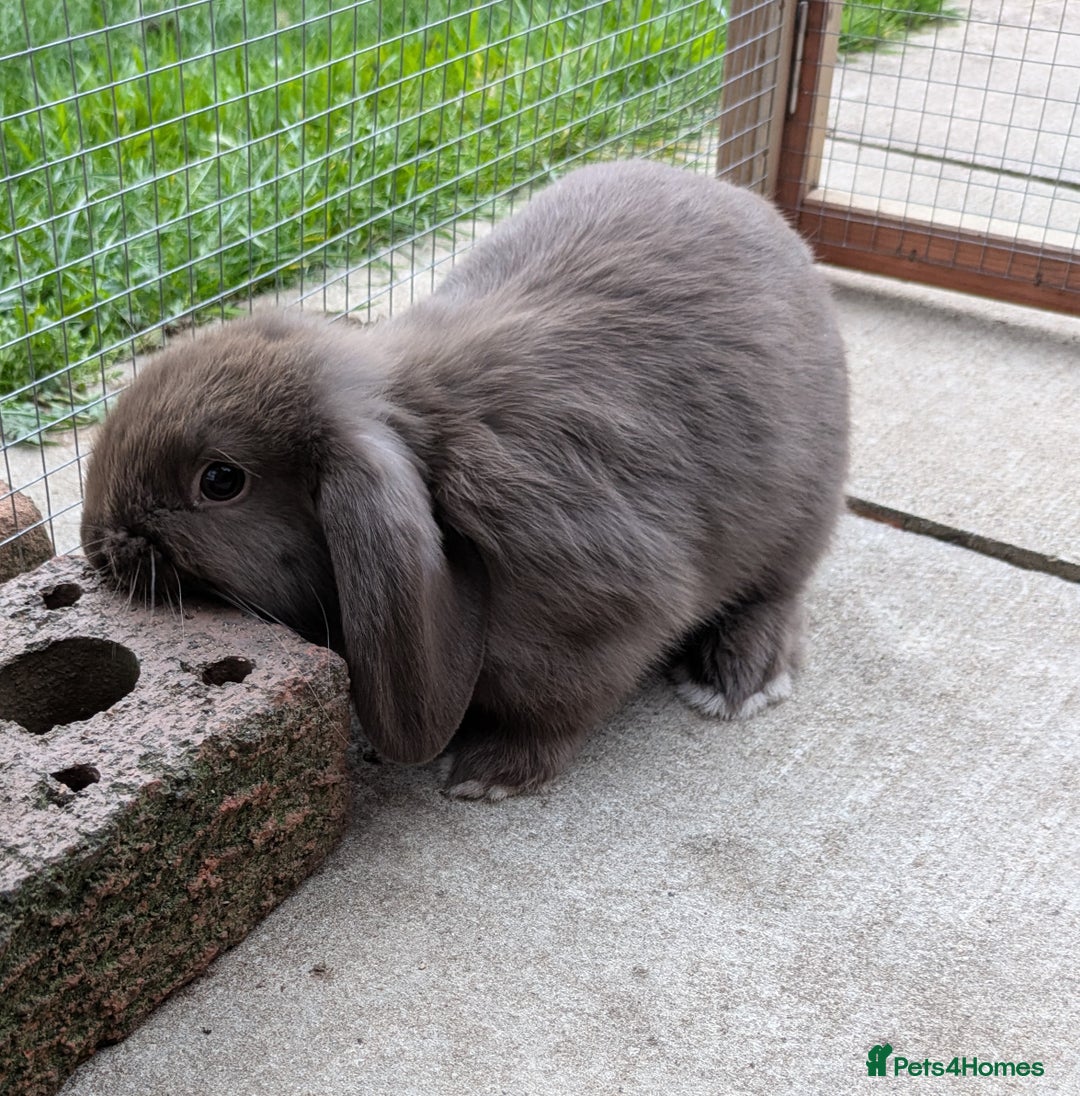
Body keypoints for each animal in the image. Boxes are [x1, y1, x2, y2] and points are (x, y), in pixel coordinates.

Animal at [80, 159, 849, 800]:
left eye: (219, 480)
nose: (97, 545)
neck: (427, 454)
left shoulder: (601, 618)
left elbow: (559, 714)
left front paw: (488, 775)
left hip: (797, 520)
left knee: (778, 594)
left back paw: (737, 679)